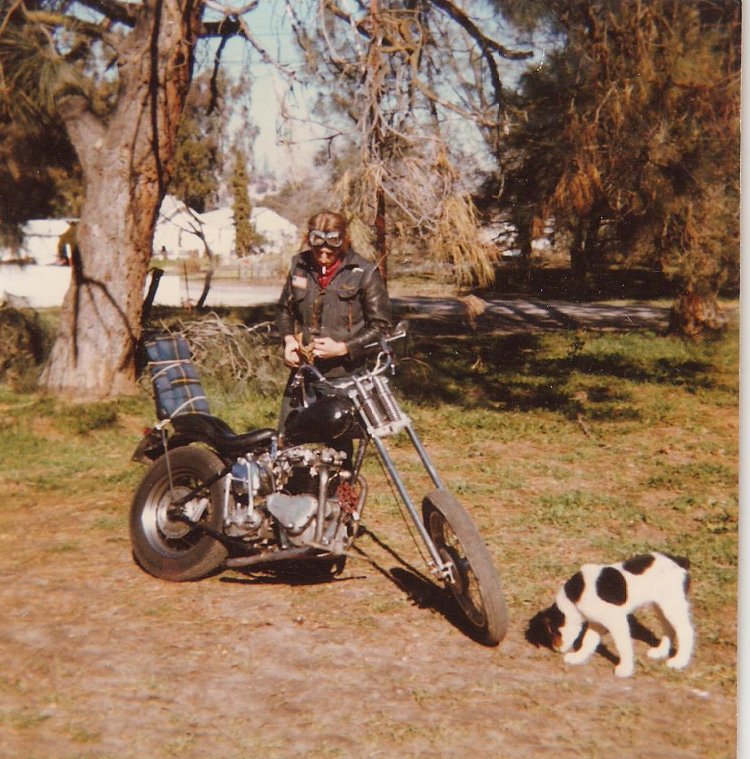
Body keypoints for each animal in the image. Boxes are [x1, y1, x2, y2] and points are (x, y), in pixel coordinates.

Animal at [528, 552, 692, 676]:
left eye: (552, 632)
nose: (556, 650)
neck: (574, 597)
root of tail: (679, 561)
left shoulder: (617, 621)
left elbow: (623, 647)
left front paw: (625, 669)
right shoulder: (597, 623)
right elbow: (588, 641)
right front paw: (578, 657)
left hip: (673, 606)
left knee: (686, 631)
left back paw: (679, 661)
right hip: (661, 606)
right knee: (669, 629)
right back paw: (660, 652)